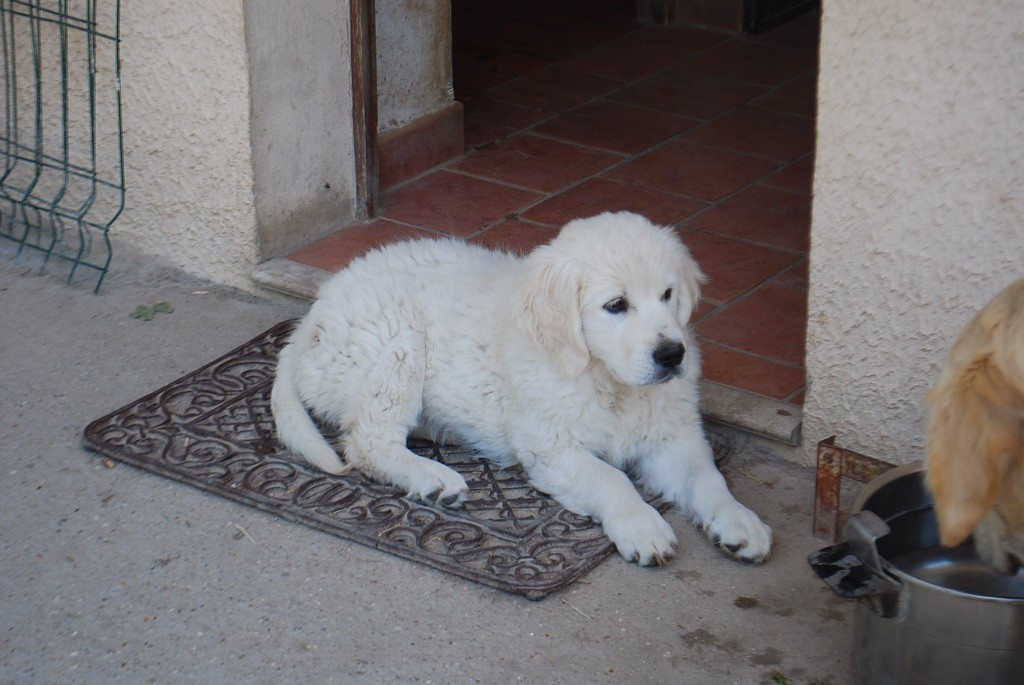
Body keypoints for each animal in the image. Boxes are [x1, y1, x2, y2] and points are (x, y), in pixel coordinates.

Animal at [272, 210, 770, 565]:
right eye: (615, 305)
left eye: (668, 295)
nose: (672, 355)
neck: (606, 381)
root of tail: (316, 311)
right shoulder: (553, 447)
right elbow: (610, 478)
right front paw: (641, 526)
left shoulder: (674, 436)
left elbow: (707, 476)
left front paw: (739, 521)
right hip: (399, 345)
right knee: (367, 442)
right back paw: (432, 477)